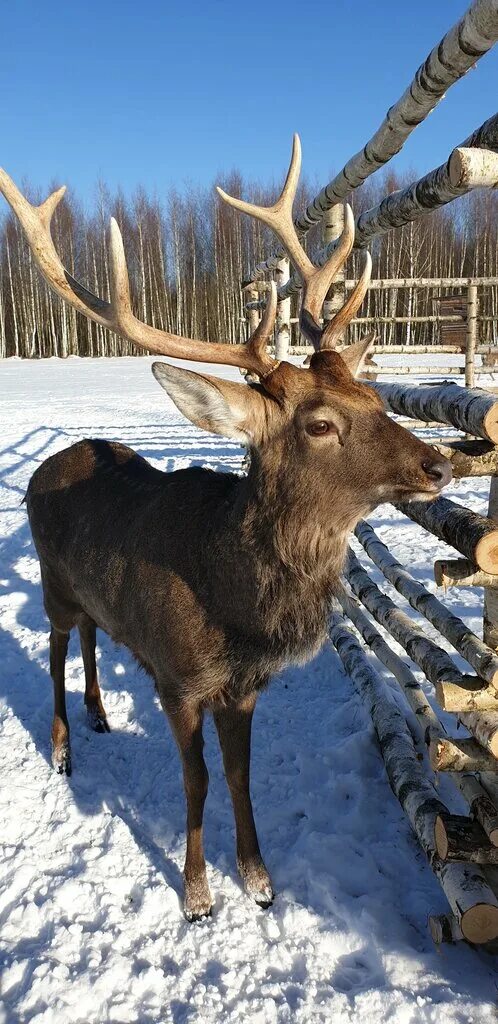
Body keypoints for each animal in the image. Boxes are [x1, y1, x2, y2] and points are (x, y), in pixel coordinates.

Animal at [0, 138, 450, 921]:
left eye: (373, 395)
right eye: (321, 423)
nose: (440, 462)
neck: (236, 608)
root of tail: (47, 465)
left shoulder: (243, 687)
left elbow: (241, 776)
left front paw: (260, 880)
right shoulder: (179, 680)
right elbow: (199, 781)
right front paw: (197, 893)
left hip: (91, 596)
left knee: (90, 634)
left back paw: (97, 714)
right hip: (54, 582)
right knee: (55, 650)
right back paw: (62, 747)